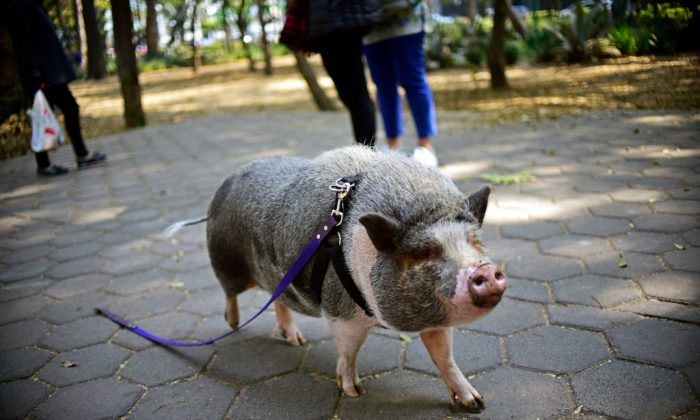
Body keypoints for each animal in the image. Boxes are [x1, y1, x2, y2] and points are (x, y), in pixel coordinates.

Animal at [205, 145, 506, 410]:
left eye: (474, 241)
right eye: (425, 252)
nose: (485, 271)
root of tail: (228, 179)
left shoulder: (436, 319)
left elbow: (444, 356)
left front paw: (476, 404)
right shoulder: (341, 313)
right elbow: (350, 351)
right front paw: (354, 392)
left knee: (278, 301)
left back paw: (295, 340)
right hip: (225, 261)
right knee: (229, 293)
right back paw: (233, 323)